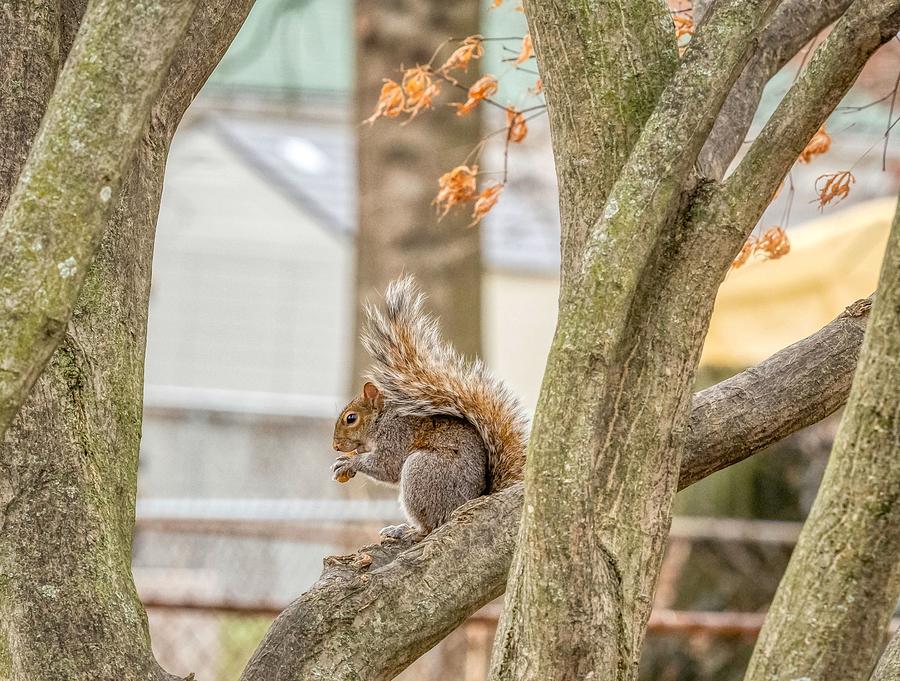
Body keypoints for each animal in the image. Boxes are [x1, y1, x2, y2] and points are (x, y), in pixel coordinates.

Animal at [330, 274, 528, 536]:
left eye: (351, 418)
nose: (335, 446)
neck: (382, 421)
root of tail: (470, 499)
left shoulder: (396, 436)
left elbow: (387, 466)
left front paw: (350, 462)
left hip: (421, 471)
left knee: (428, 526)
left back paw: (405, 530)